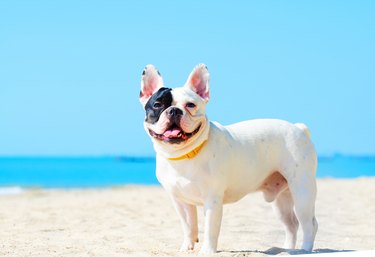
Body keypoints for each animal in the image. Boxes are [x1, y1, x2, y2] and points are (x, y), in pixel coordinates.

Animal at [140, 63, 318, 252]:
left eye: (190, 105)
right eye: (157, 104)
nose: (174, 110)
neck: (184, 154)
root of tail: (298, 128)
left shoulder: (212, 200)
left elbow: (210, 229)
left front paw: (207, 251)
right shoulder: (180, 200)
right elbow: (188, 225)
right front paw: (186, 248)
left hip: (302, 192)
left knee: (309, 224)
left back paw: (304, 250)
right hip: (281, 199)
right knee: (291, 224)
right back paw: (288, 250)